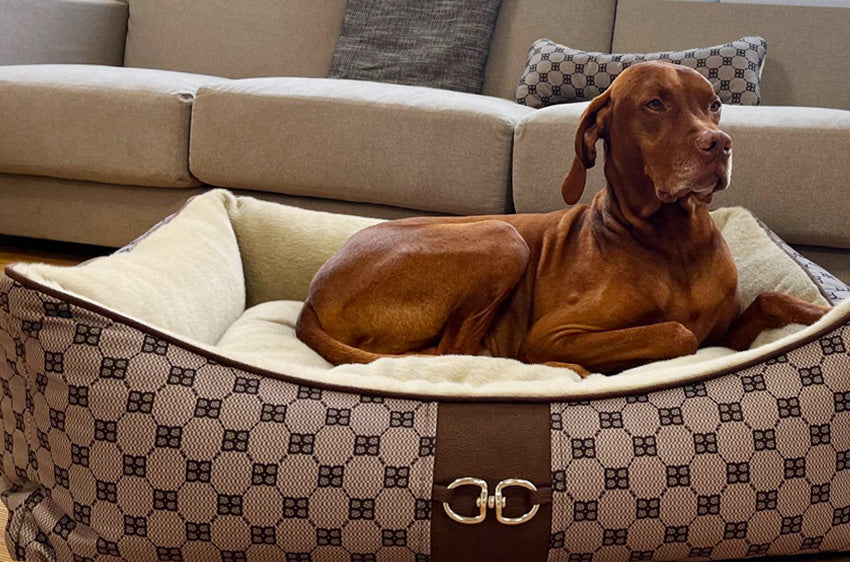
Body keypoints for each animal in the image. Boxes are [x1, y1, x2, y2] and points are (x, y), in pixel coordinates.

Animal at [294, 61, 828, 374]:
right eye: (655, 104)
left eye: (714, 105)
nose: (719, 144)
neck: (674, 241)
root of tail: (311, 298)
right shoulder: (555, 333)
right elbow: (678, 332)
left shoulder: (727, 334)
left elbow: (773, 298)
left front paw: (822, 316)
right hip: (502, 236)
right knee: (453, 352)